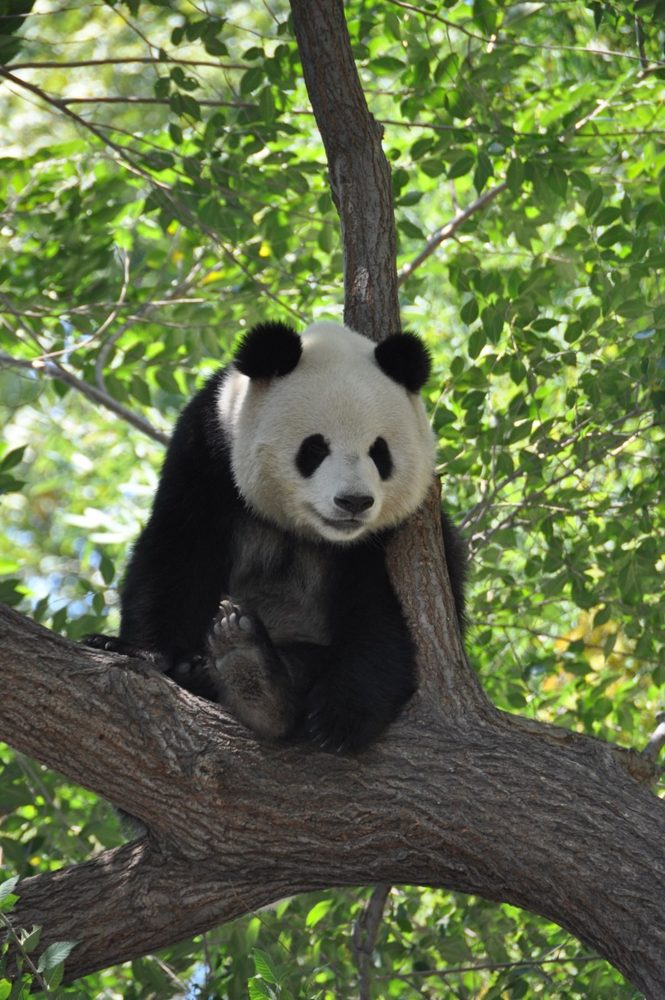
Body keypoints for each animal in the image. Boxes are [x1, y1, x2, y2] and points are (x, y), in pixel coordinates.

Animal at [87, 320, 466, 752]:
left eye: (379, 452)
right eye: (315, 448)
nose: (354, 502)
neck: (303, 527)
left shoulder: (397, 534)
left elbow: (383, 607)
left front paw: (342, 715)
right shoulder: (209, 448)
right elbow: (177, 549)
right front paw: (136, 650)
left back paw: (255, 676)